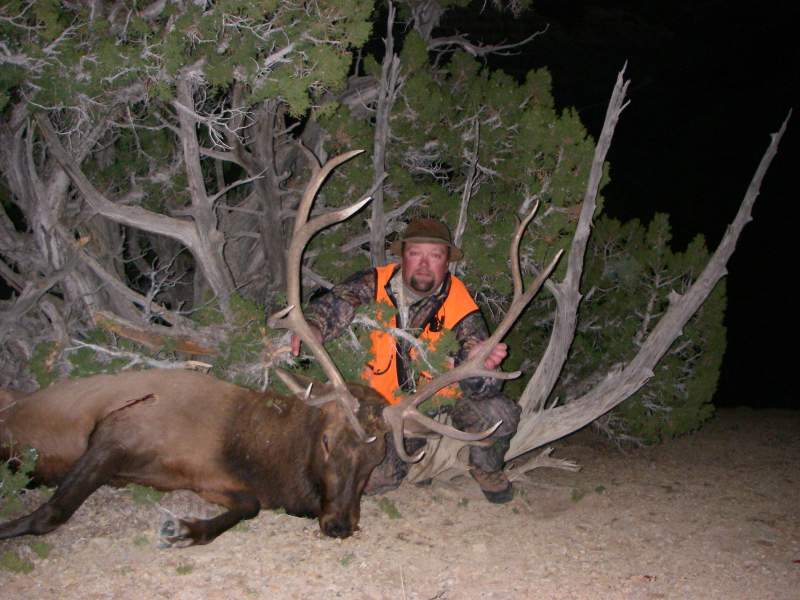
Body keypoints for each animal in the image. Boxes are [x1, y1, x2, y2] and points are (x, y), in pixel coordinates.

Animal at [0, 149, 560, 544]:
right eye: (329, 441)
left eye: (376, 457)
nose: (340, 524)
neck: (242, 446)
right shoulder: (121, 427)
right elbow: (52, 513)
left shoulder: (218, 481)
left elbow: (245, 507)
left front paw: (182, 529)